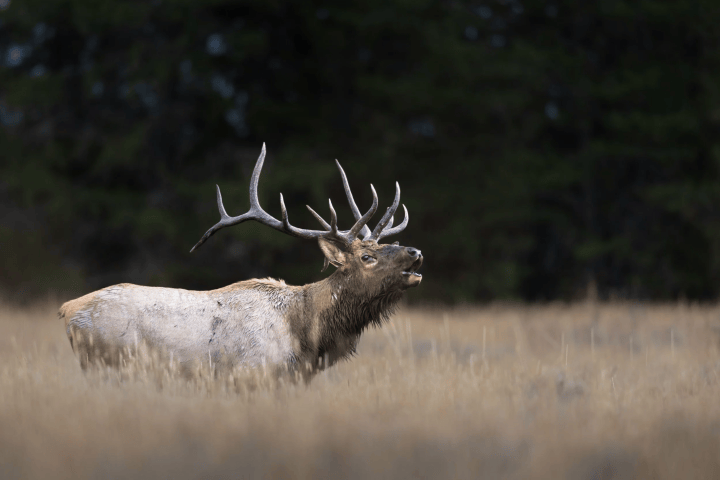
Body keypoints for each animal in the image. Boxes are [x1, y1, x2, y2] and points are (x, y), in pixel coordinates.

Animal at [58, 144, 423, 380]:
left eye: (391, 245)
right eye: (366, 257)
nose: (415, 252)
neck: (308, 336)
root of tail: (67, 309)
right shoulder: (252, 375)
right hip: (108, 363)